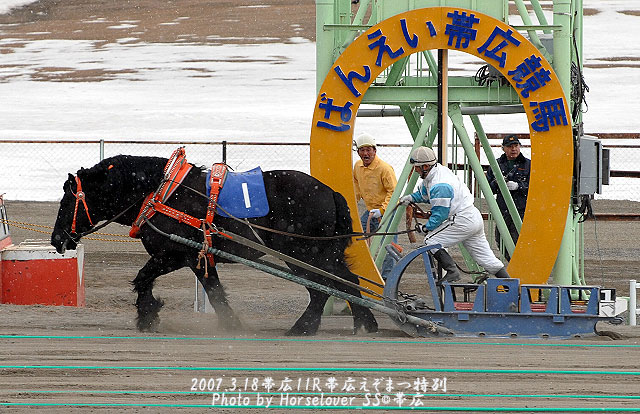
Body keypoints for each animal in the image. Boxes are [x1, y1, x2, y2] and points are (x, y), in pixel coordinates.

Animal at [52, 154, 380, 334]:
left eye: (68, 200)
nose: (57, 239)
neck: (162, 193)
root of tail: (330, 192)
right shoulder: (192, 256)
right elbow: (206, 288)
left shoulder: (177, 253)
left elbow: (153, 279)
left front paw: (149, 315)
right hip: (322, 254)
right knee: (346, 282)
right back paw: (365, 324)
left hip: (305, 253)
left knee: (322, 289)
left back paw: (303, 328)